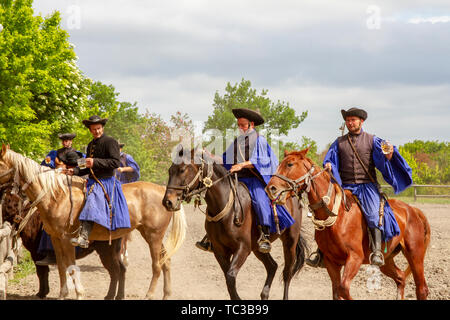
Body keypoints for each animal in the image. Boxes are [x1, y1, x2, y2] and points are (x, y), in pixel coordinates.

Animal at [0, 185, 130, 300]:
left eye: (4, 201)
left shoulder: (36, 254)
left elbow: (41, 272)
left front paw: (41, 293)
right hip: (113, 252)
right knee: (121, 270)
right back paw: (118, 295)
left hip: (107, 252)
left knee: (115, 271)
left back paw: (111, 295)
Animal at [162, 149, 306, 300]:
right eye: (170, 170)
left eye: (182, 169)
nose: (168, 202)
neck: (227, 207)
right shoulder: (220, 251)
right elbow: (228, 279)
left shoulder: (242, 248)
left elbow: (230, 277)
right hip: (258, 248)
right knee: (272, 266)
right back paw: (264, 294)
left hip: (290, 241)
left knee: (287, 272)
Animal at [266, 149, 430, 300]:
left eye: (290, 164)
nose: (271, 188)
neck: (337, 215)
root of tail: (412, 210)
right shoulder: (331, 262)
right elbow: (337, 291)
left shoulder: (354, 258)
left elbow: (343, 288)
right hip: (387, 260)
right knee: (401, 278)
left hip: (415, 254)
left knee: (421, 289)